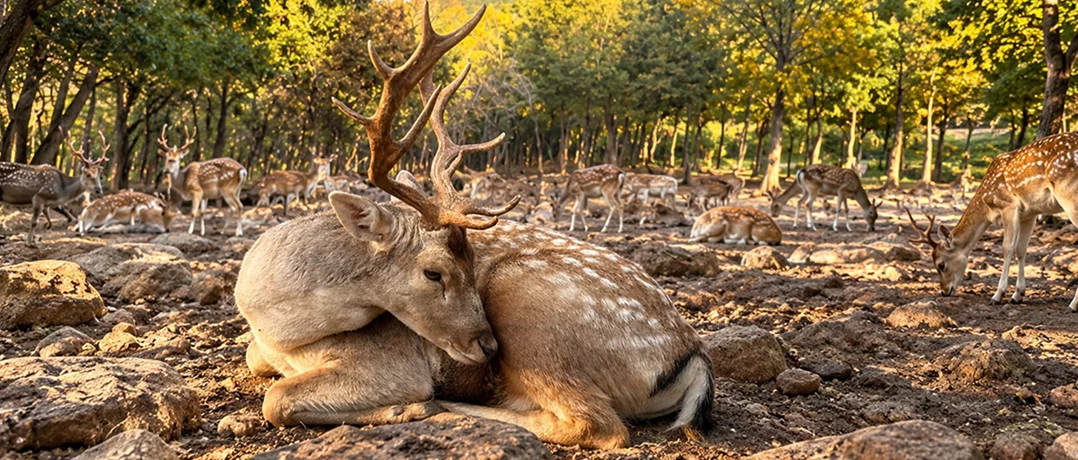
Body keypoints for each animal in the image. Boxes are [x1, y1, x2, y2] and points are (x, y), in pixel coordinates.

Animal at [236, 4, 713, 450]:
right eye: (434, 273)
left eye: (469, 262)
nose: (488, 348)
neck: (275, 325)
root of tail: (692, 357)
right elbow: (255, 363)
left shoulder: (391, 363)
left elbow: (276, 398)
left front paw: (403, 407)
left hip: (525, 303)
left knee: (598, 424)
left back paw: (445, 405)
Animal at [905, 132, 1078, 309]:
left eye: (941, 265)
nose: (944, 291)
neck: (987, 207)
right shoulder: (1030, 213)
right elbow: (1021, 249)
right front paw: (1017, 295)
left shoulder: (1008, 205)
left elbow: (1007, 248)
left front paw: (997, 295)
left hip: (1069, 195)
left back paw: (1073, 304)